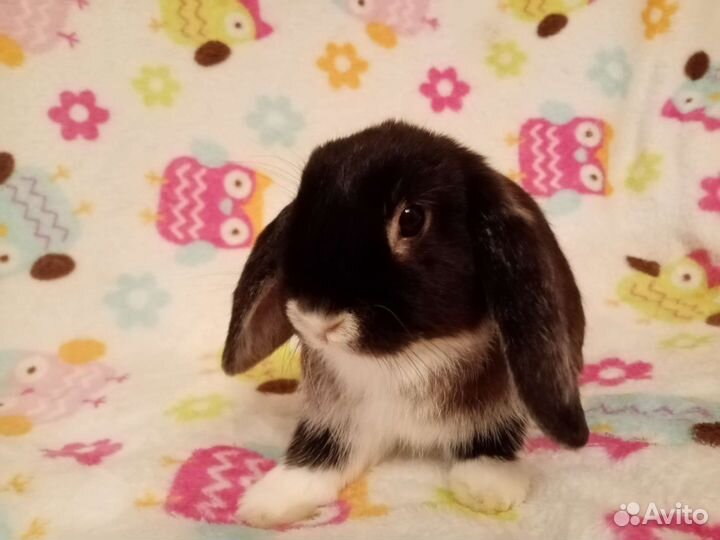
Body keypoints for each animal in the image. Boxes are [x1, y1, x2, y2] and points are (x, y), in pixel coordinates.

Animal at [222, 120, 589, 528]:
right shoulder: (342, 420)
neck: (406, 358)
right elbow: (323, 452)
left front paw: (489, 485)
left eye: (412, 219)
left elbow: (489, 439)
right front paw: (270, 500)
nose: (317, 320)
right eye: (303, 206)